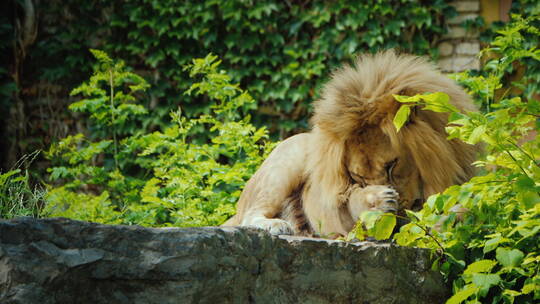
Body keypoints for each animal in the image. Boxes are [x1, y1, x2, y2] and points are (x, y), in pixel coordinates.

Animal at [224, 50, 476, 238]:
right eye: (358, 177)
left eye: (392, 165)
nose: (390, 218)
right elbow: (349, 201)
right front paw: (376, 202)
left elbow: (462, 207)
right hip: (287, 161)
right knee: (250, 214)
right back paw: (276, 225)